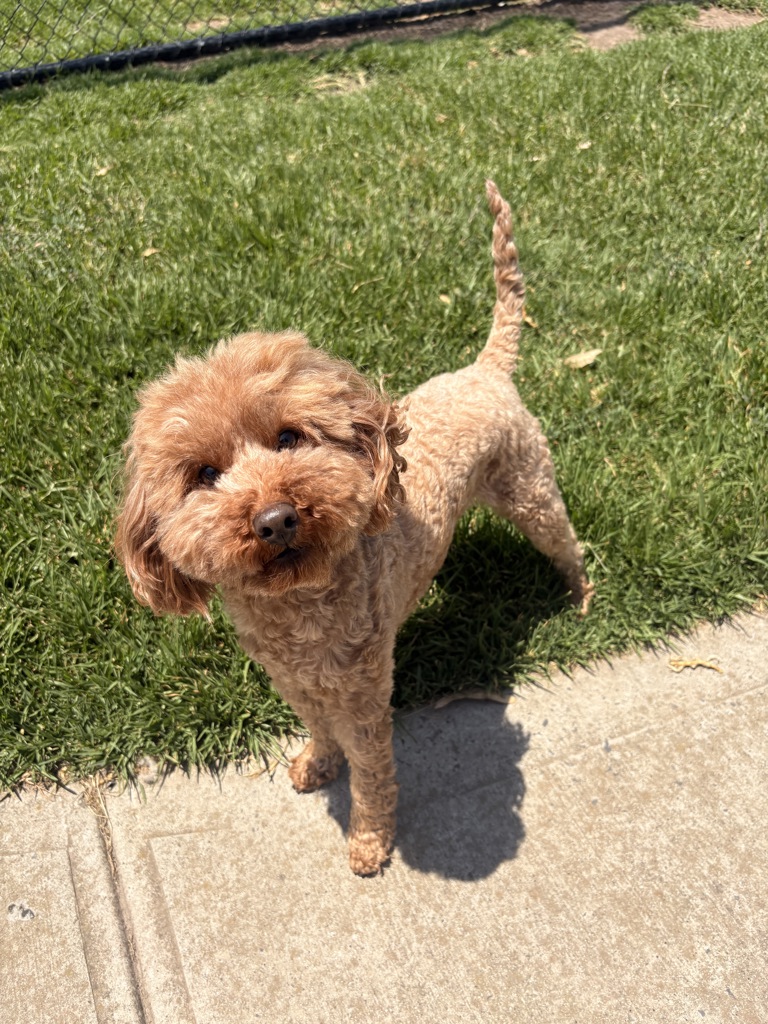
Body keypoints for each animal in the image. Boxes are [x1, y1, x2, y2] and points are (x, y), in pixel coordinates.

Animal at [116, 181, 592, 875]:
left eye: (289, 437)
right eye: (204, 474)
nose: (276, 519)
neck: (299, 606)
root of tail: (485, 368)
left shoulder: (364, 694)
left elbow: (371, 772)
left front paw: (370, 842)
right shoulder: (295, 683)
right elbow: (319, 734)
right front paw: (317, 765)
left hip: (530, 489)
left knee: (568, 545)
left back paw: (581, 596)